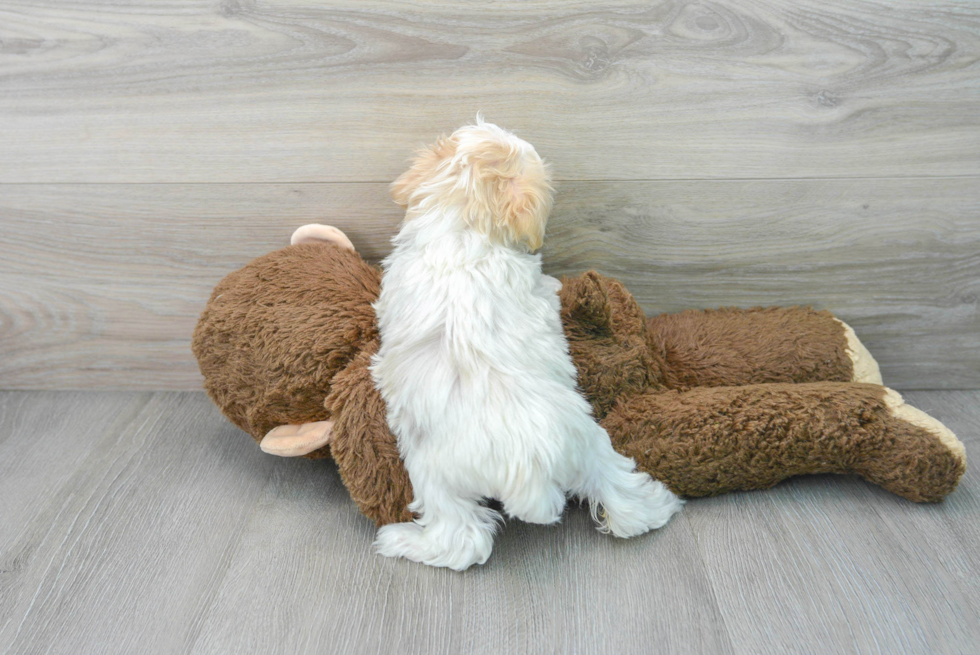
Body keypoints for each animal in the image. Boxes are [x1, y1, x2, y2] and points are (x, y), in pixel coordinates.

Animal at [368, 120, 680, 572]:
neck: (465, 227)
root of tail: (529, 469)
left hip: (431, 475)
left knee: (460, 540)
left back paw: (400, 540)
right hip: (590, 445)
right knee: (625, 498)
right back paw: (660, 504)